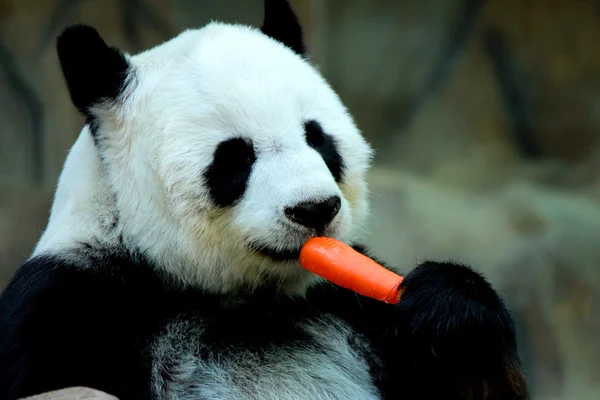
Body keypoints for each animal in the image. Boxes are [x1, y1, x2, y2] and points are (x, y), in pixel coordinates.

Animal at [0, 1, 528, 398]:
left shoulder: (349, 306)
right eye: (234, 158)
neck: (244, 304)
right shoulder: (68, 303)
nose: (316, 209)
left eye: (318, 138)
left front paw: (453, 314)